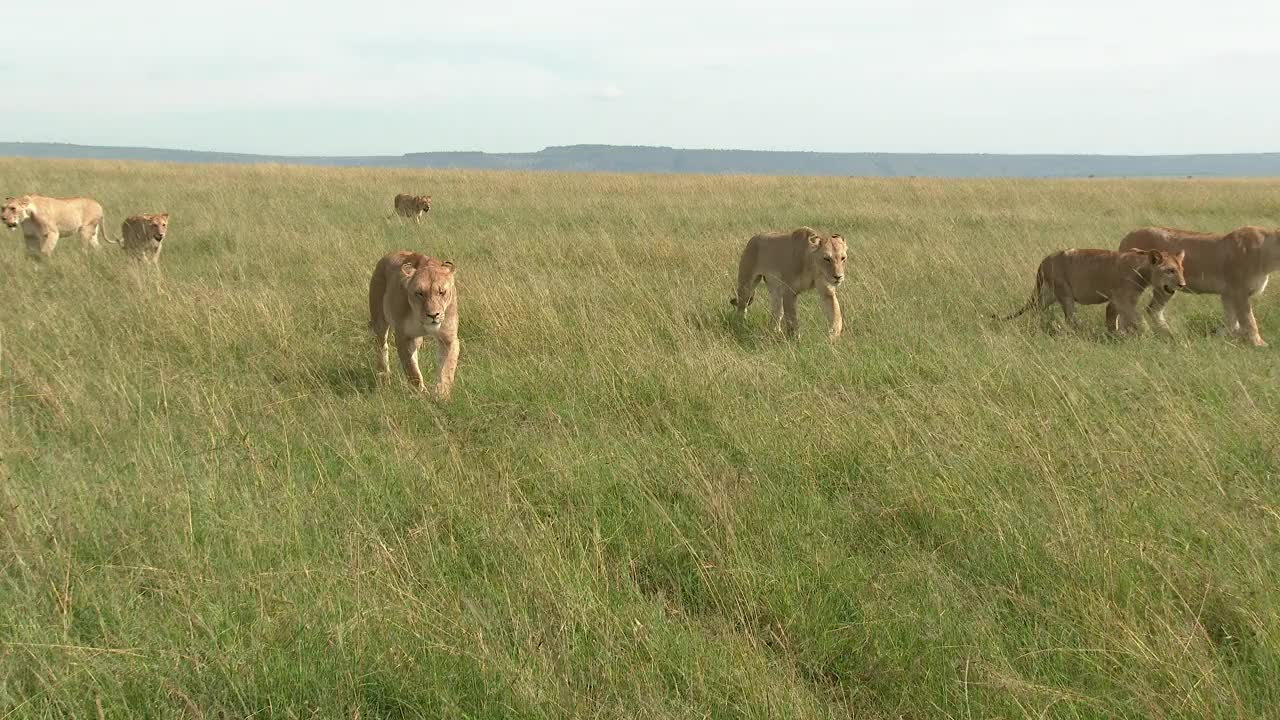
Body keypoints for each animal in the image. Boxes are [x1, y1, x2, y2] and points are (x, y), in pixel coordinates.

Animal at [366, 249, 460, 397]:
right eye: (419, 293)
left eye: (441, 292)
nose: (433, 315)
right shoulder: (403, 337)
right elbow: (412, 369)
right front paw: (421, 393)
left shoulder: (449, 338)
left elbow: (446, 369)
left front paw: (441, 394)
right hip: (379, 320)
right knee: (381, 346)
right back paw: (384, 377)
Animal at [988, 245, 1187, 333]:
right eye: (1170, 270)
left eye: (1181, 270)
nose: (1182, 284)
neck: (1144, 270)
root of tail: (1044, 260)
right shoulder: (1123, 300)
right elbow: (1138, 320)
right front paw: (1146, 335)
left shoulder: (1116, 301)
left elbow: (1112, 318)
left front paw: (1115, 335)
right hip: (1064, 293)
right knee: (1070, 319)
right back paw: (1081, 333)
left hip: (1047, 295)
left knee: (1036, 310)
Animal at [1116, 225, 1274, 345]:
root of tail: (1128, 235)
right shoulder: (1238, 291)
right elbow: (1248, 319)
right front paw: (1259, 344)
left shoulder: (1228, 293)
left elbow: (1231, 320)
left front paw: (1219, 338)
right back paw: (1125, 335)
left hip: (1165, 287)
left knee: (1152, 309)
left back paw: (1170, 334)